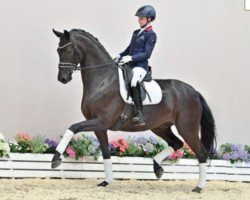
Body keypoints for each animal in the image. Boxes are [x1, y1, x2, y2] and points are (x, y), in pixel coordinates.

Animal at [51, 28, 216, 193]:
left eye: (68, 50)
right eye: (58, 50)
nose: (62, 78)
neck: (103, 81)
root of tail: (193, 91)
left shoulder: (102, 121)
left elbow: (73, 127)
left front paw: (56, 159)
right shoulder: (100, 127)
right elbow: (106, 154)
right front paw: (106, 181)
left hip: (187, 128)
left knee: (201, 152)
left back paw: (199, 187)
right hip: (161, 127)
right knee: (177, 143)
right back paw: (157, 167)